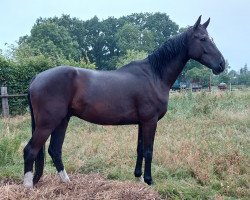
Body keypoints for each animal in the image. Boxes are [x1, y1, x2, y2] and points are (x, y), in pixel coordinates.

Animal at [23, 16, 226, 188]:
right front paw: (149, 180)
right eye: (202, 39)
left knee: (54, 150)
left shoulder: (142, 122)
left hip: (62, 121)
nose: (222, 64)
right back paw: (28, 186)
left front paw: (138, 177)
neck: (154, 75)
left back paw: (66, 181)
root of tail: (37, 77)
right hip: (47, 123)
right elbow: (149, 150)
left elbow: (139, 149)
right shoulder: (150, 121)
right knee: (31, 150)